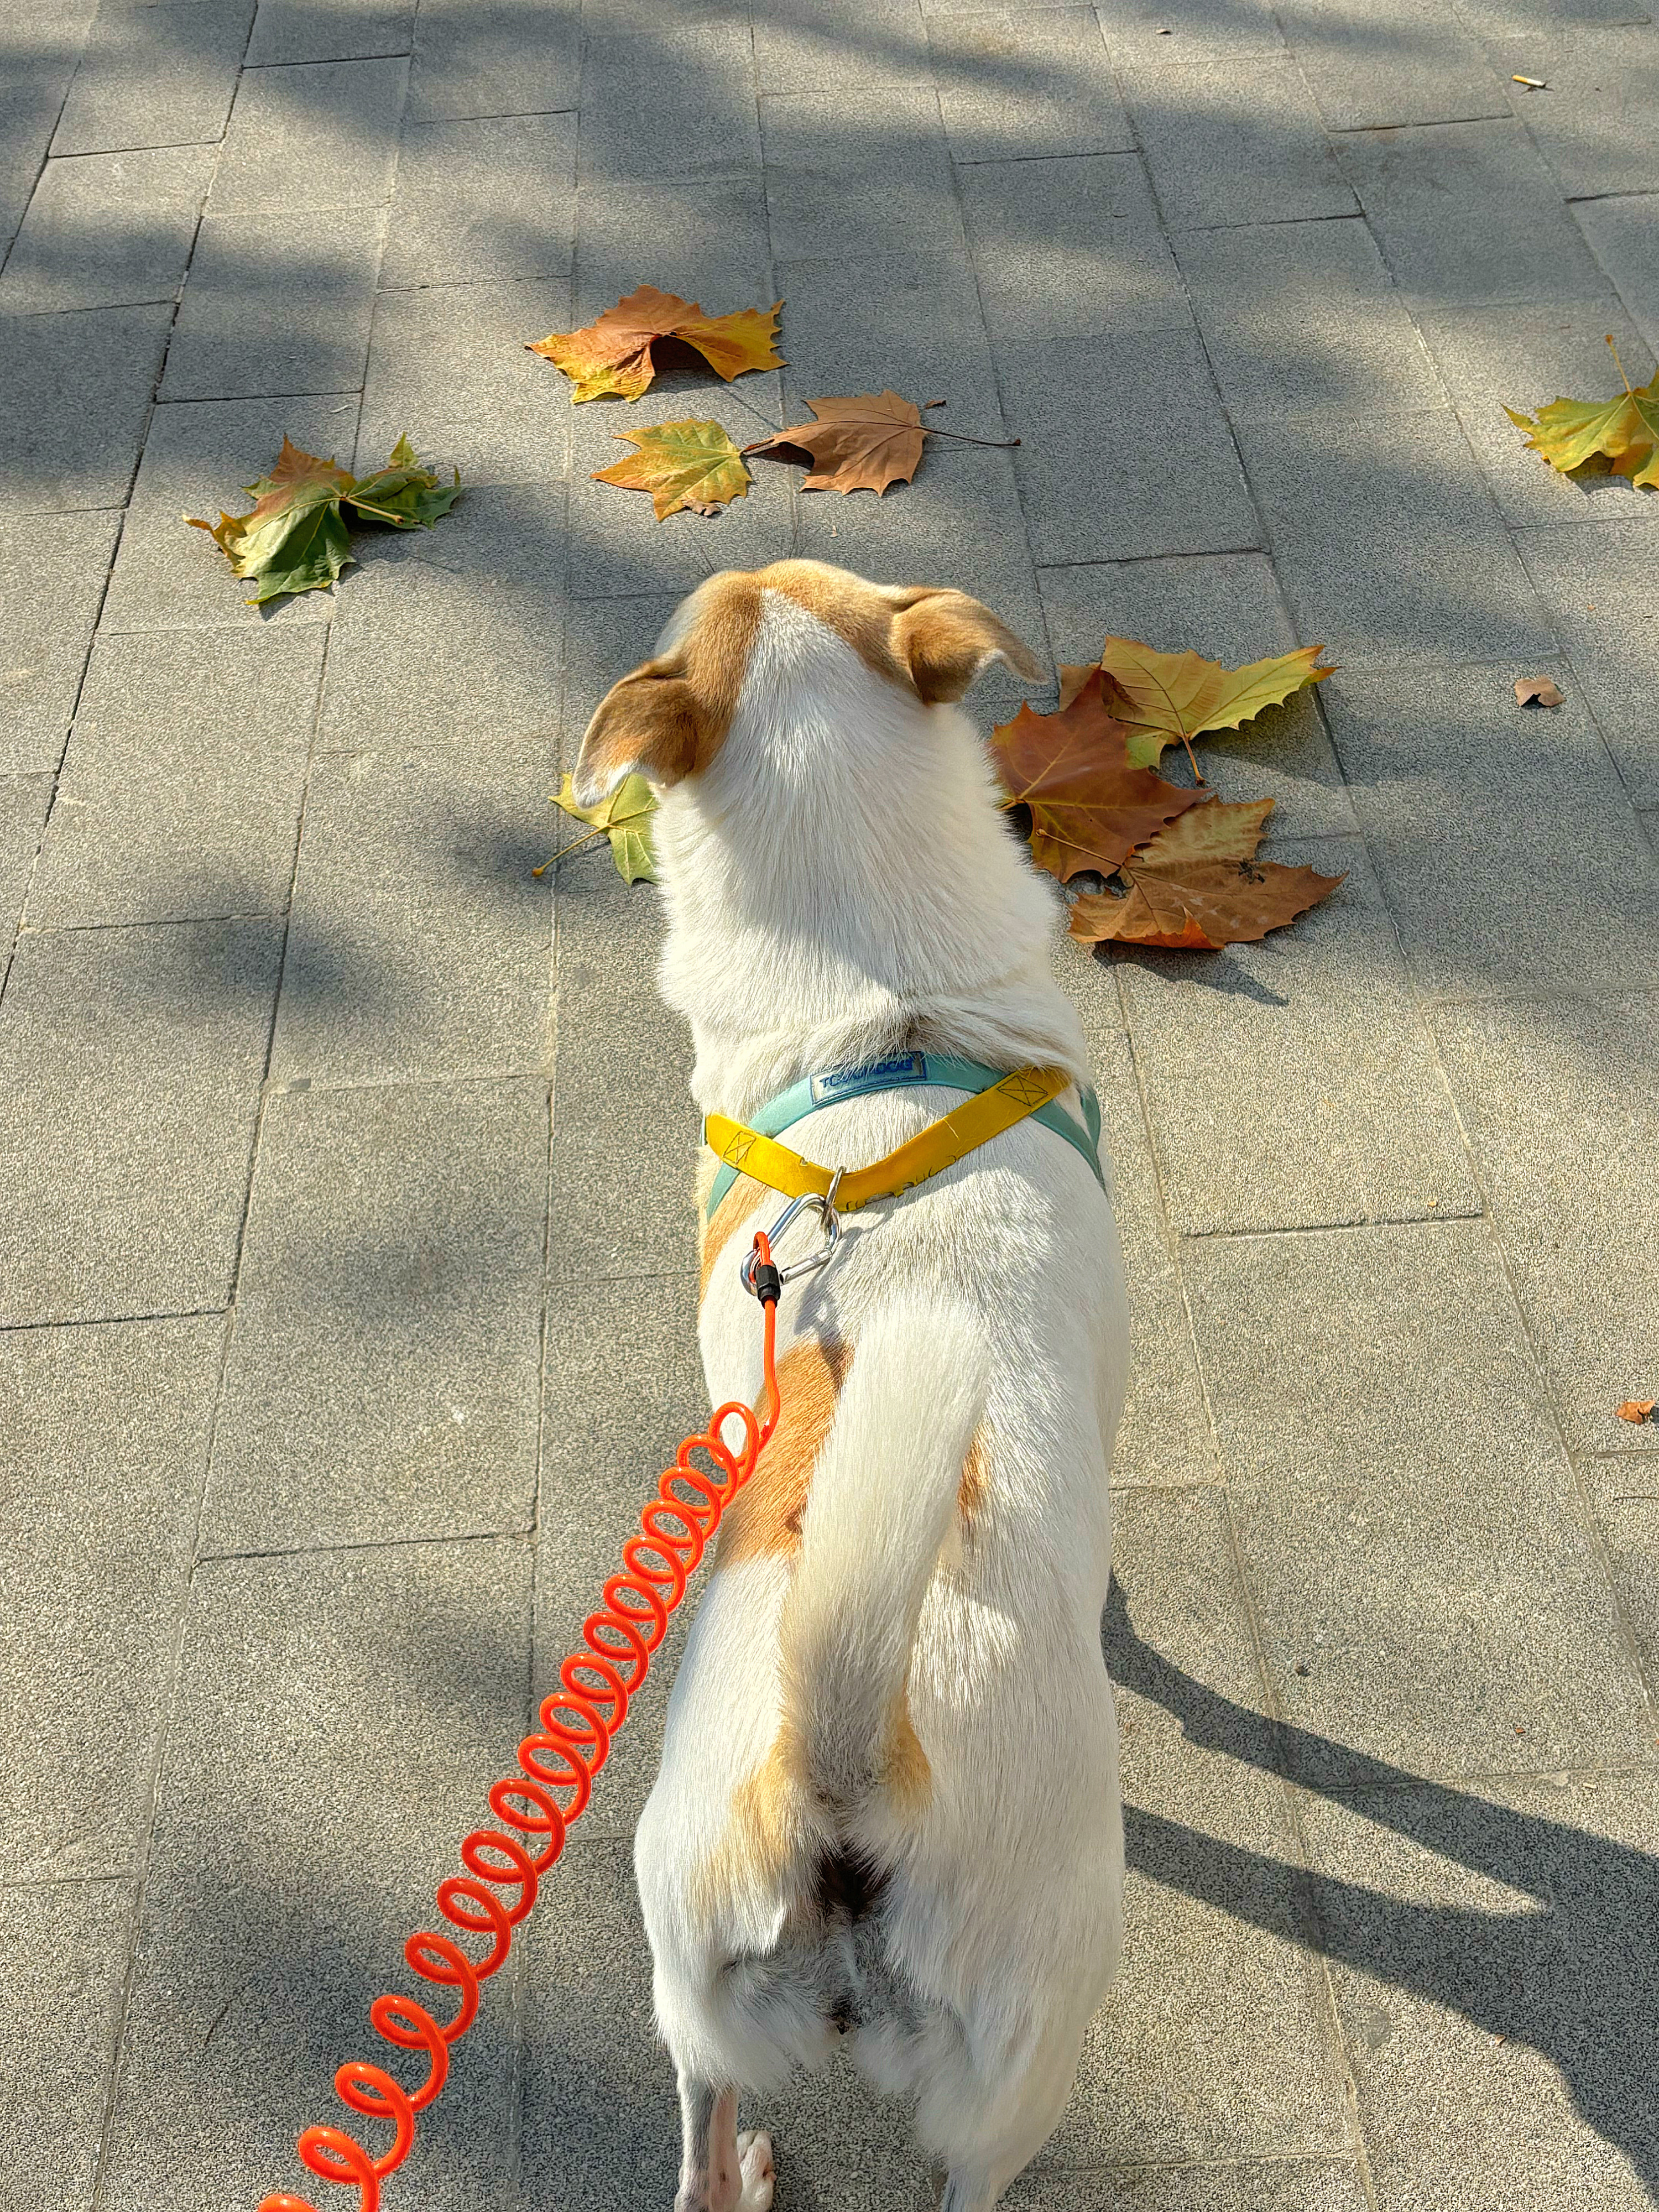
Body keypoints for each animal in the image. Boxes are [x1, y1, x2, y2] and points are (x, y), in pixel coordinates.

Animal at [580, 557, 1141, 2212]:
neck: (884, 1015)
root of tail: (842, 1773)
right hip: (1023, 2050)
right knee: (975, 2175)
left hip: (691, 1983)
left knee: (698, 2158)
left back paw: (747, 2174)